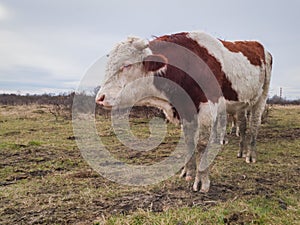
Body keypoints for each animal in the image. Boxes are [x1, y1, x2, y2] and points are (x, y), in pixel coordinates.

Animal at [95, 31, 272, 193]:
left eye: (126, 65)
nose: (100, 98)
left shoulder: (207, 109)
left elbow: (201, 145)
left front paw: (202, 181)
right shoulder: (186, 110)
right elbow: (189, 142)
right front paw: (187, 172)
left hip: (261, 99)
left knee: (254, 126)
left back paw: (250, 155)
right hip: (241, 106)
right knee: (242, 126)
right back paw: (241, 152)